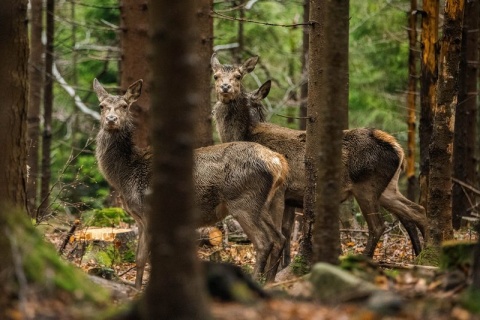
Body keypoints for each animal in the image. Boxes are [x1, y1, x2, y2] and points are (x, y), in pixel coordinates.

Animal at [92, 78, 290, 288]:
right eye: (102, 106)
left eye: (124, 105)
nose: (111, 119)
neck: (126, 174)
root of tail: (278, 163)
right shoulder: (141, 219)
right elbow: (140, 259)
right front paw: (137, 287)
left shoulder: (149, 213)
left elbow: (149, 258)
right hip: (271, 202)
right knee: (279, 238)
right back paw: (270, 282)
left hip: (243, 200)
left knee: (264, 242)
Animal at [210, 53, 428, 260]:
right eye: (216, 75)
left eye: (238, 76)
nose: (225, 87)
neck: (245, 134)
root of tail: (397, 148)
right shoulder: (291, 197)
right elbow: (286, 234)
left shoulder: (280, 192)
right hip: (388, 188)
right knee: (416, 212)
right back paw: (424, 255)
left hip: (367, 185)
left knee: (378, 226)